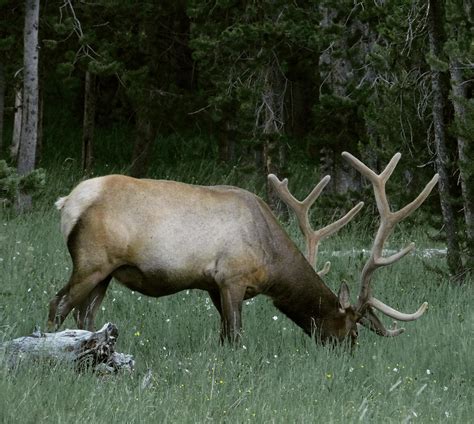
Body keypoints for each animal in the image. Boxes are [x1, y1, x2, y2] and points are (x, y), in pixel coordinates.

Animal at [47, 152, 436, 344]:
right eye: (352, 328)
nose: (349, 352)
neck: (271, 258)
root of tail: (67, 202)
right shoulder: (231, 278)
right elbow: (234, 336)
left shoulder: (213, 286)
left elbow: (223, 334)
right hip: (91, 261)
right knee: (58, 305)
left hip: (107, 273)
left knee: (86, 316)